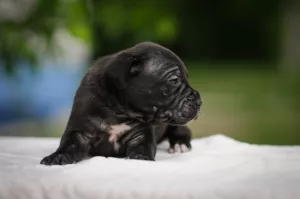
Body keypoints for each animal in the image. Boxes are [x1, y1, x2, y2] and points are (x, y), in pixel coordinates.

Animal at [39, 41, 202, 165]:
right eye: (174, 80)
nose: (199, 101)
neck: (117, 110)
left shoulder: (141, 134)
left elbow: (144, 146)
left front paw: (141, 158)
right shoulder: (80, 129)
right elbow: (69, 144)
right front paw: (58, 156)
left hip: (174, 126)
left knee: (182, 131)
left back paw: (180, 144)